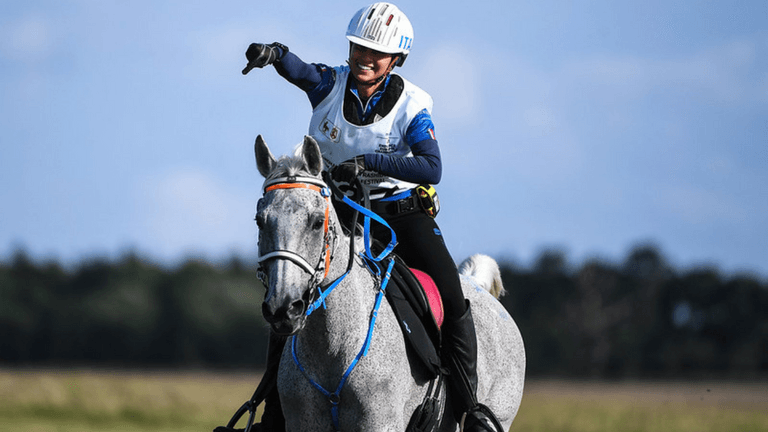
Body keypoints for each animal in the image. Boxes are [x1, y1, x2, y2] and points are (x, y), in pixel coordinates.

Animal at [255, 136, 524, 432]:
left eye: (316, 222)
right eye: (260, 221)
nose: (283, 309)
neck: (333, 346)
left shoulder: (381, 424)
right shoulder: (304, 423)